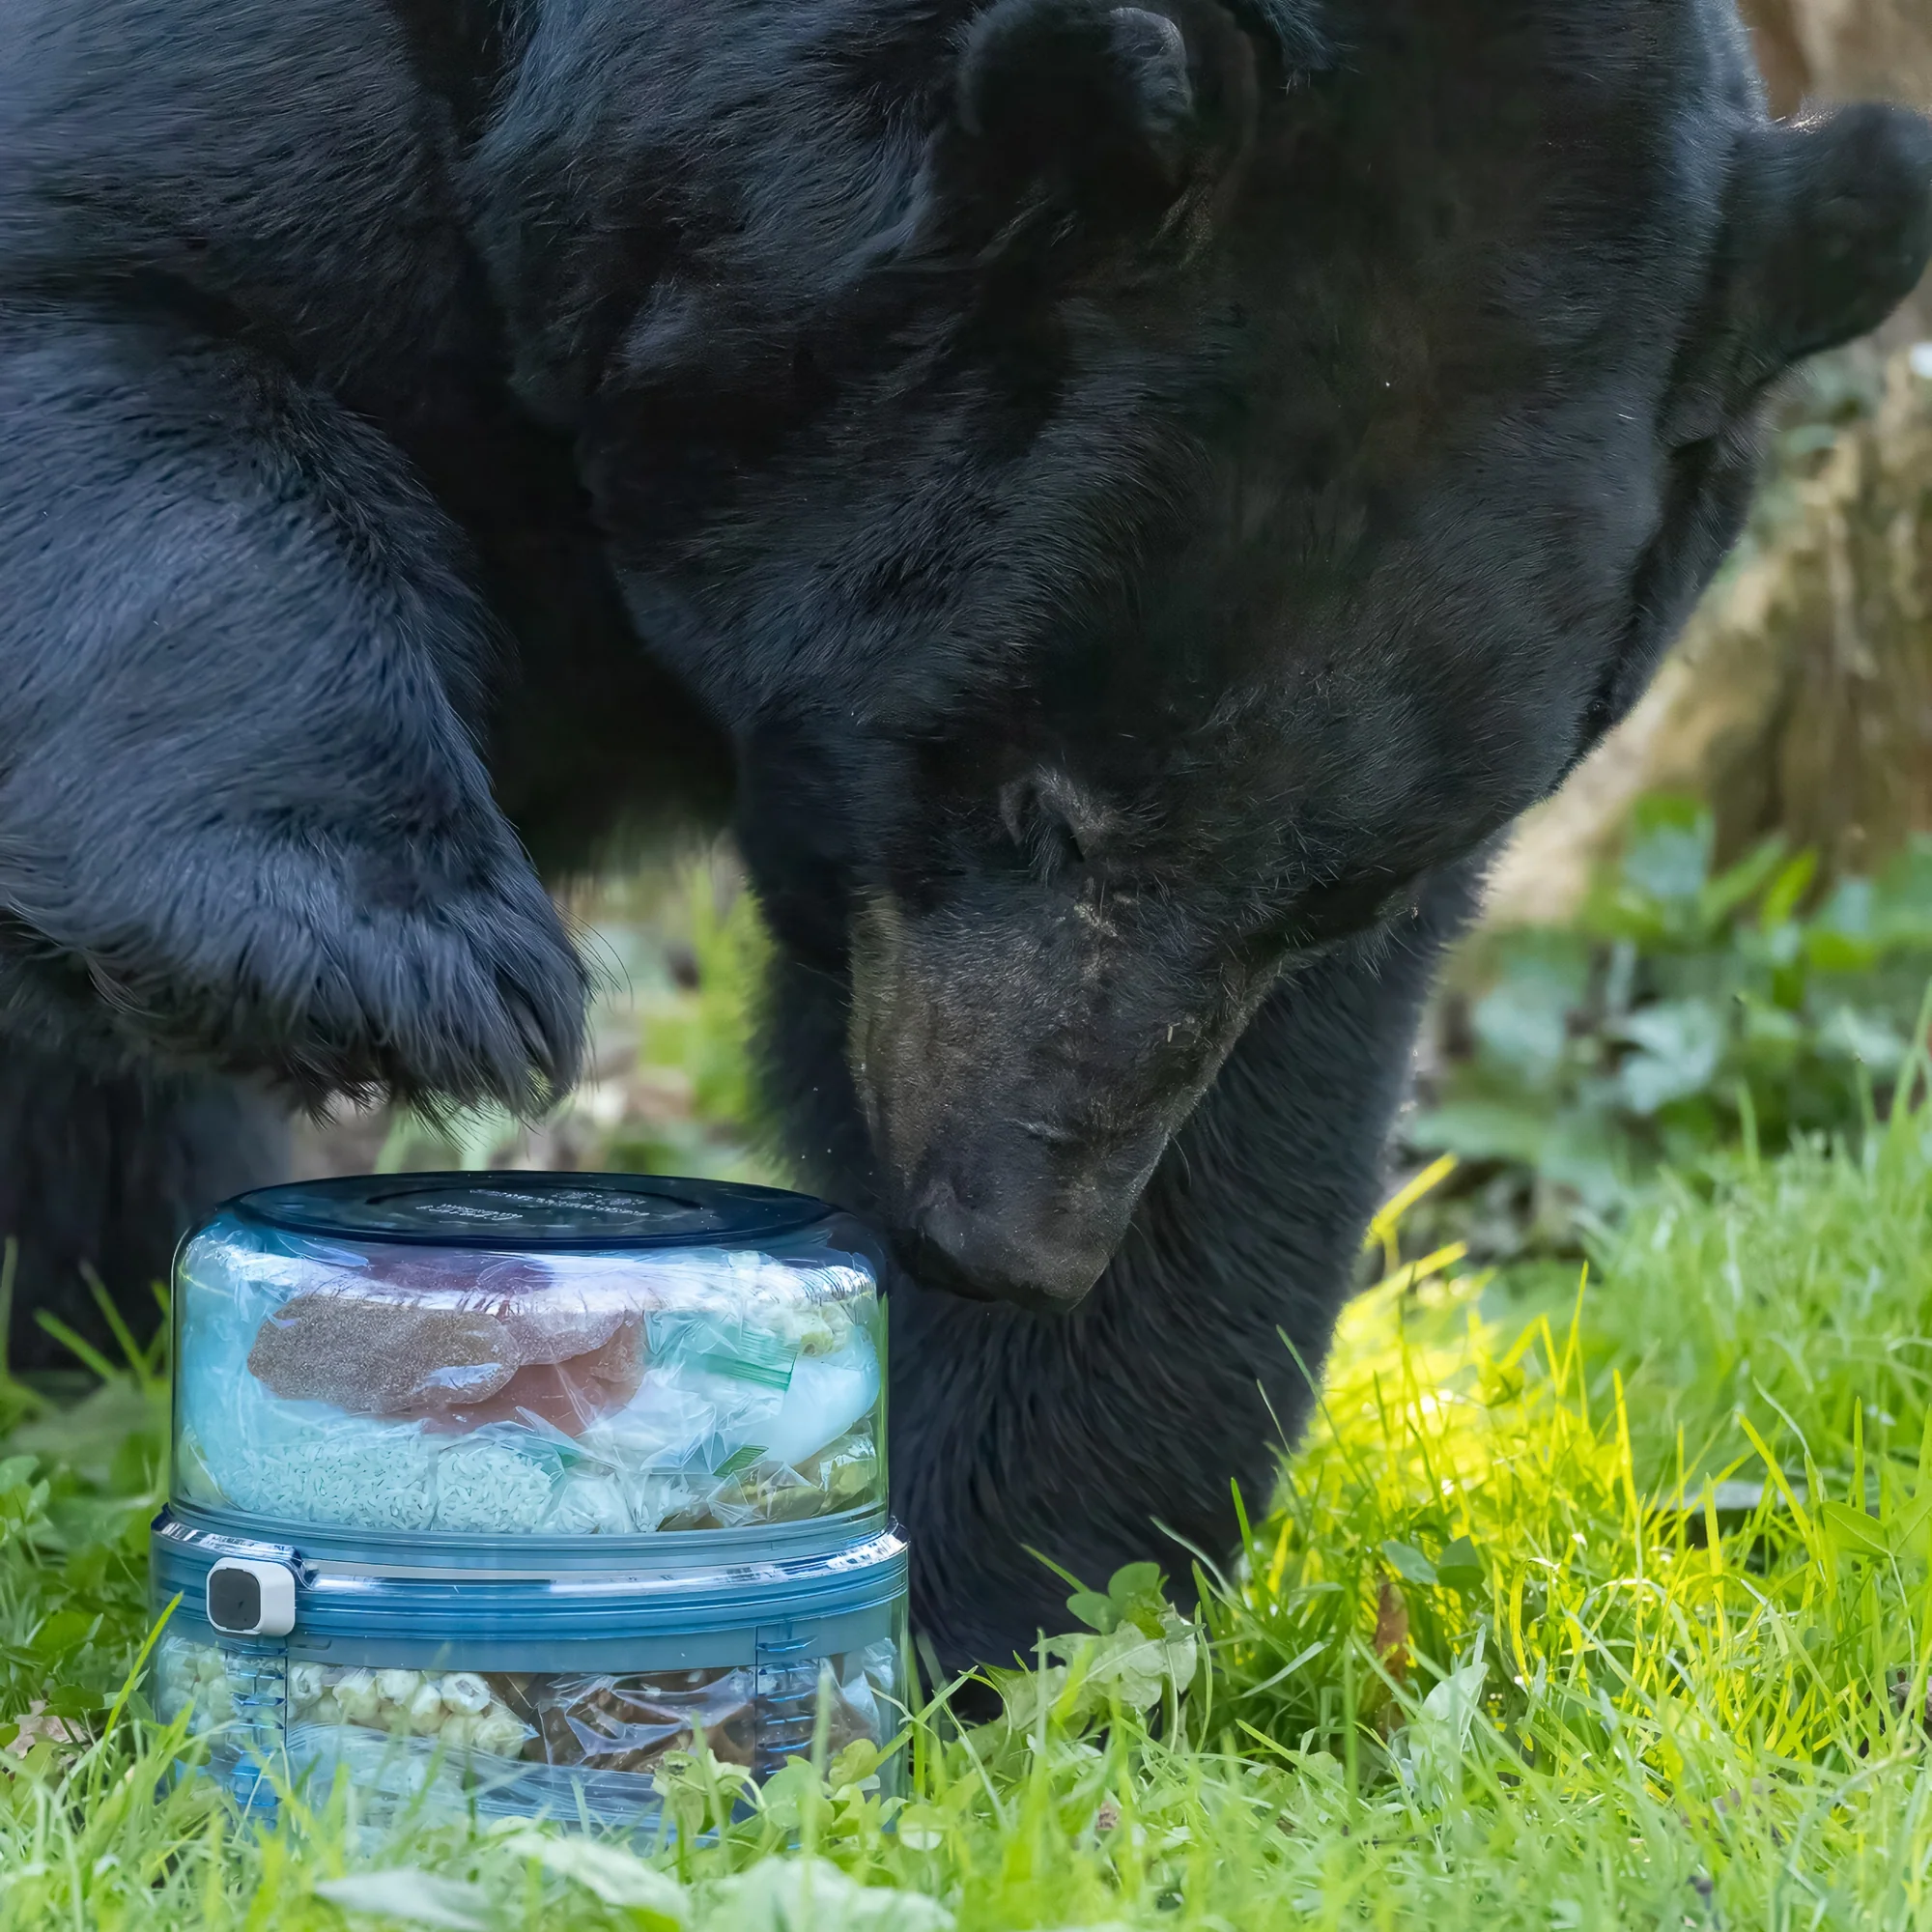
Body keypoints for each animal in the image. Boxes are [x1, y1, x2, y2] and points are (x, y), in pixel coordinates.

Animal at [1, 0, 1928, 1671]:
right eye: (1032, 804)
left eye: (1332, 895)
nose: (1010, 1237)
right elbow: (131, 311)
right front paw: (397, 966)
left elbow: (1259, 1116)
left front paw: (1007, 1614)